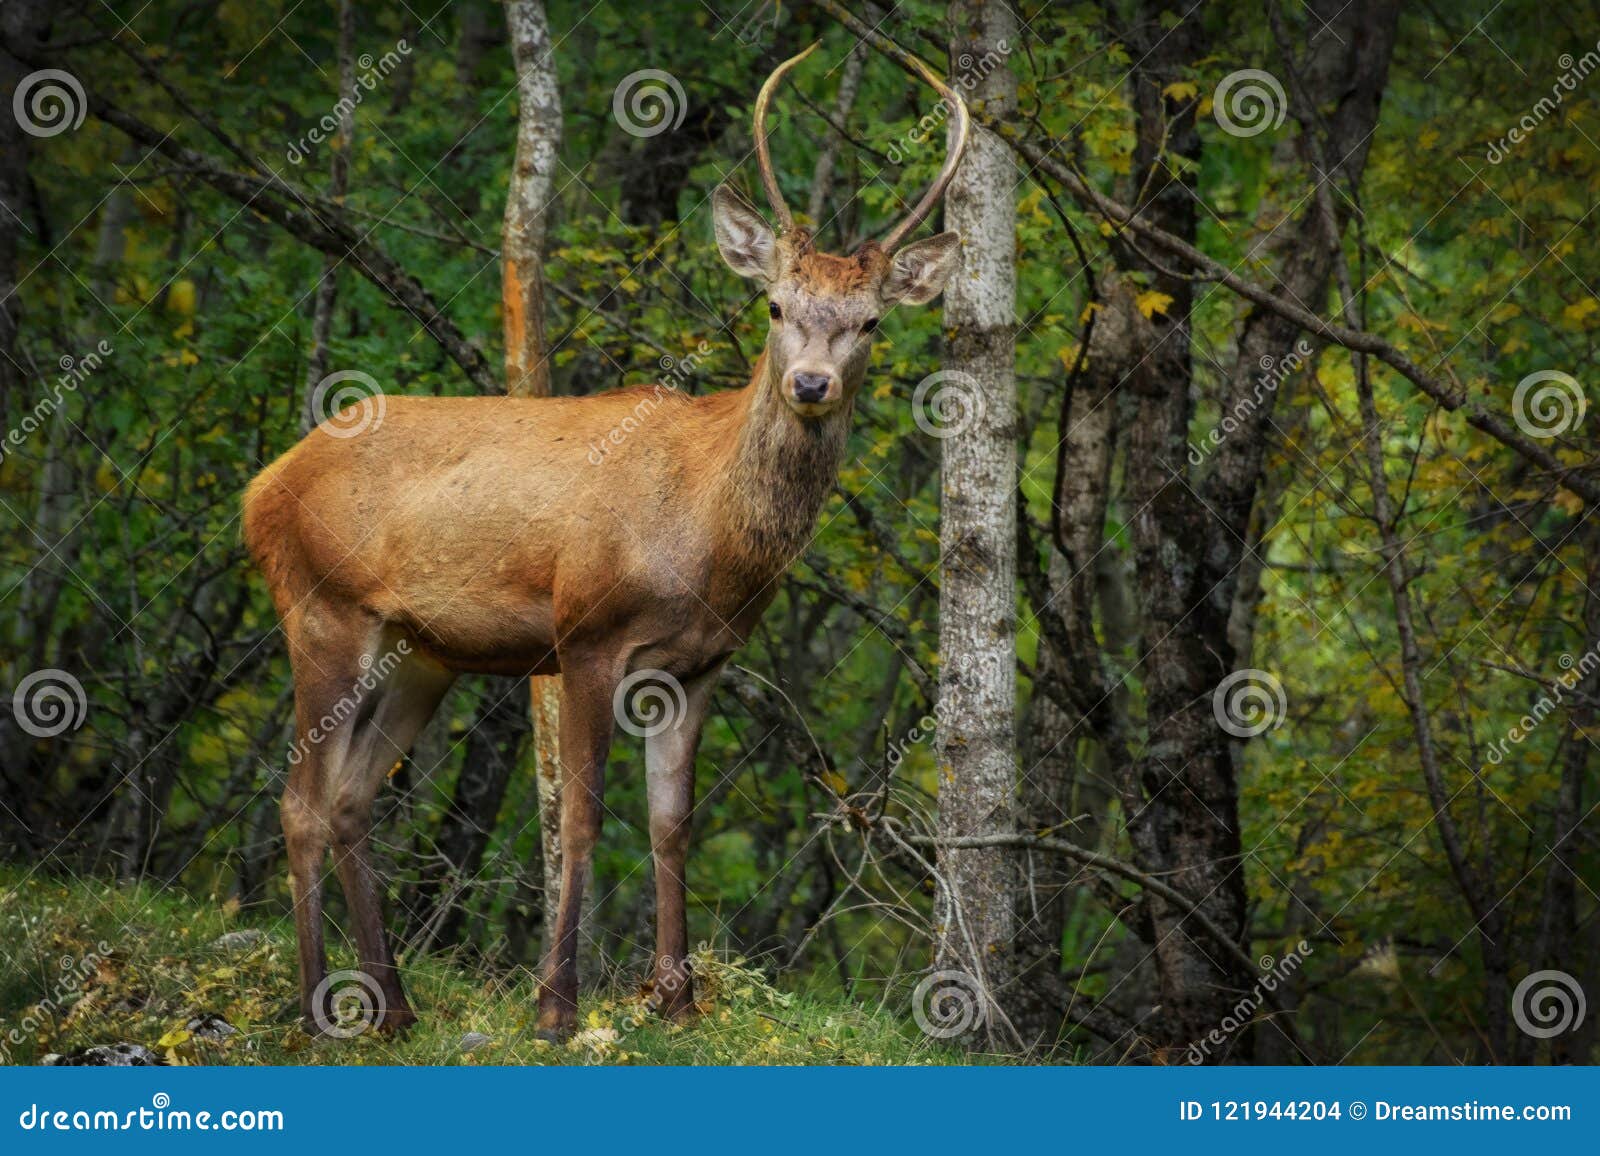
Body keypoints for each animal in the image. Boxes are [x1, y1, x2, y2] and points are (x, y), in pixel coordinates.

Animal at [236, 42, 960, 1037]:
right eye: (775, 306)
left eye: (872, 321)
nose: (811, 384)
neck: (708, 543)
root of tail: (259, 488)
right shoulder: (585, 635)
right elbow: (577, 819)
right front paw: (557, 1009)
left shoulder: (700, 664)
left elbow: (671, 823)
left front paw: (678, 1000)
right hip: (322, 611)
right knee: (300, 801)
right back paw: (318, 1010)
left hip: (423, 651)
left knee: (349, 800)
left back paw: (395, 1008)